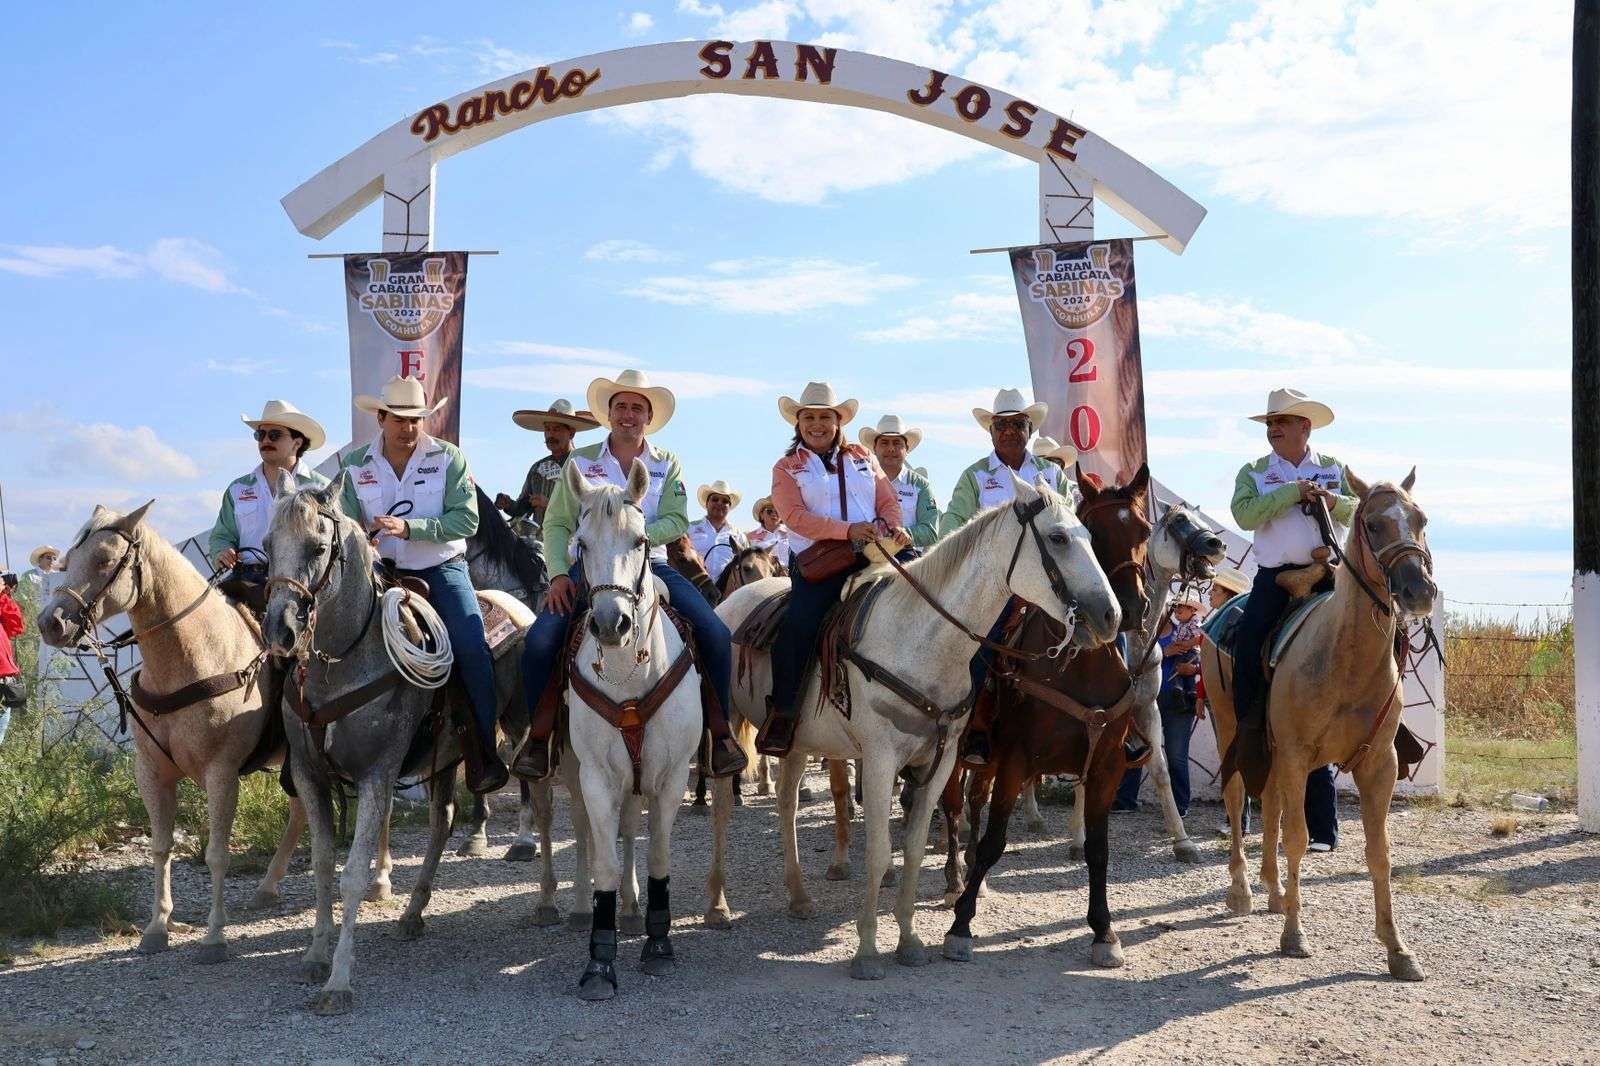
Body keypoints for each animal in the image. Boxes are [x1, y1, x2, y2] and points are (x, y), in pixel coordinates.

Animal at [35, 502, 305, 960]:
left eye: (104, 559)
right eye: (67, 562)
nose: (49, 624)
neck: (196, 655)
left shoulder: (221, 773)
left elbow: (217, 854)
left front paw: (214, 937)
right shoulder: (152, 771)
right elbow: (161, 847)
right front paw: (157, 927)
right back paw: (268, 886)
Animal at [264, 473, 531, 1011]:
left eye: (318, 546)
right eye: (266, 545)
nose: (278, 629)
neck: (343, 663)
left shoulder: (378, 775)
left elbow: (352, 875)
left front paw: (339, 981)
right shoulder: (309, 775)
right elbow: (323, 866)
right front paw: (315, 957)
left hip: (524, 731)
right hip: (448, 756)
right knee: (442, 822)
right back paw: (413, 913)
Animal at [563, 460, 713, 998]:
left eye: (641, 540)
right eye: (582, 544)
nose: (613, 624)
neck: (630, 674)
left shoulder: (671, 777)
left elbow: (659, 856)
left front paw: (659, 943)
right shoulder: (596, 778)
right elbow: (605, 860)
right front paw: (599, 960)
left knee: (631, 830)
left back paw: (633, 910)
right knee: (599, 832)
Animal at [720, 473, 1120, 979]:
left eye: (1089, 536)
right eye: (1059, 538)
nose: (1110, 616)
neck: (921, 638)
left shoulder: (941, 760)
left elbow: (911, 848)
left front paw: (909, 941)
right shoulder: (879, 761)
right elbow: (879, 852)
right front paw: (867, 952)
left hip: (796, 743)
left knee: (788, 805)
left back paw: (798, 896)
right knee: (723, 803)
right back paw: (717, 905)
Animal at [1203, 470, 1440, 979]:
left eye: (1421, 519)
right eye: (1373, 524)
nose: (1419, 591)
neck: (1344, 657)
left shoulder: (1380, 765)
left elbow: (1379, 852)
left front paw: (1397, 948)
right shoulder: (1296, 755)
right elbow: (1297, 839)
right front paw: (1294, 936)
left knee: (1270, 804)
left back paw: (1274, 892)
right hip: (1230, 727)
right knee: (1237, 797)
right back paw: (1242, 891)